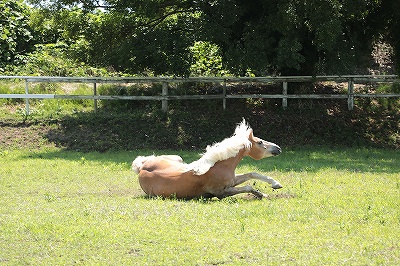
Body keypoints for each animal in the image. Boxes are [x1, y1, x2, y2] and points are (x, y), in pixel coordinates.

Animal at [133, 119, 282, 200]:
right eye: (260, 142)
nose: (278, 148)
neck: (216, 166)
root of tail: (142, 168)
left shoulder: (233, 181)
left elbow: (252, 174)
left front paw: (275, 185)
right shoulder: (222, 193)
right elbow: (248, 186)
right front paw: (263, 194)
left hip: (178, 158)